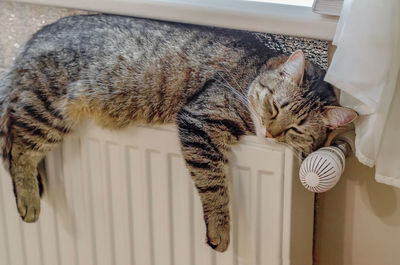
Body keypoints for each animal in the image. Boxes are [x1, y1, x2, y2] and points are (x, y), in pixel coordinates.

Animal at [0, 14, 356, 252]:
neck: (252, 75)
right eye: (276, 107)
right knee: (18, 148)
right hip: (49, 109)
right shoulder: (198, 120)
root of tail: (30, 41)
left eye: (295, 129)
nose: (269, 133)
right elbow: (214, 185)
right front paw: (220, 229)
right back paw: (29, 200)